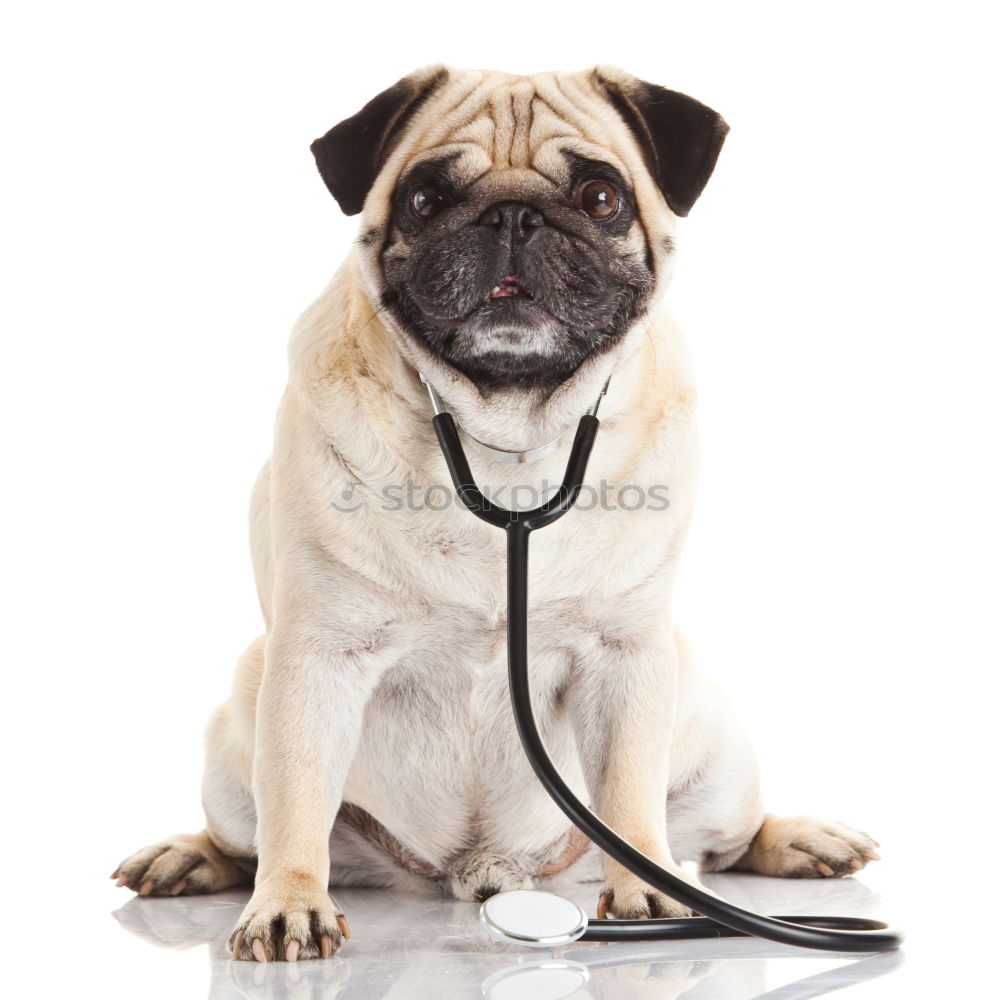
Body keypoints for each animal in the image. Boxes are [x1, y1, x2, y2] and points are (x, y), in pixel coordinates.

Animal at [111, 64, 884, 960]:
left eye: (598, 197)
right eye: (424, 199)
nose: (512, 215)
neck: (508, 435)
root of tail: (479, 872)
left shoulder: (626, 658)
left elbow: (629, 792)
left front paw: (649, 891)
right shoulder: (317, 660)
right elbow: (297, 799)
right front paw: (289, 905)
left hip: (712, 748)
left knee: (721, 836)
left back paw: (792, 842)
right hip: (239, 734)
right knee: (249, 831)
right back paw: (190, 857)